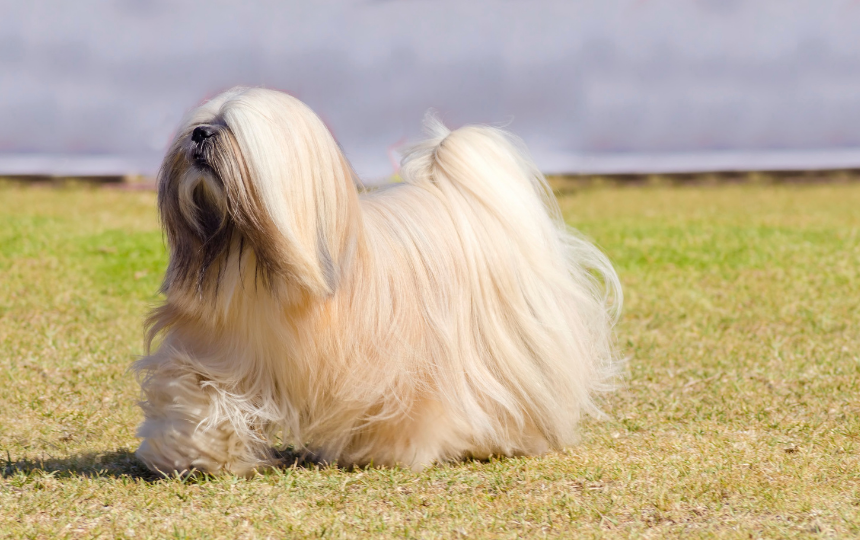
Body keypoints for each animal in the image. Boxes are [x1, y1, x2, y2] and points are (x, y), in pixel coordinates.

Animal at [133, 86, 620, 474]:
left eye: (228, 129)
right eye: (200, 124)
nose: (199, 134)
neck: (257, 262)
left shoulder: (397, 368)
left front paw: (390, 452)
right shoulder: (214, 350)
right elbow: (195, 397)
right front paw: (191, 454)